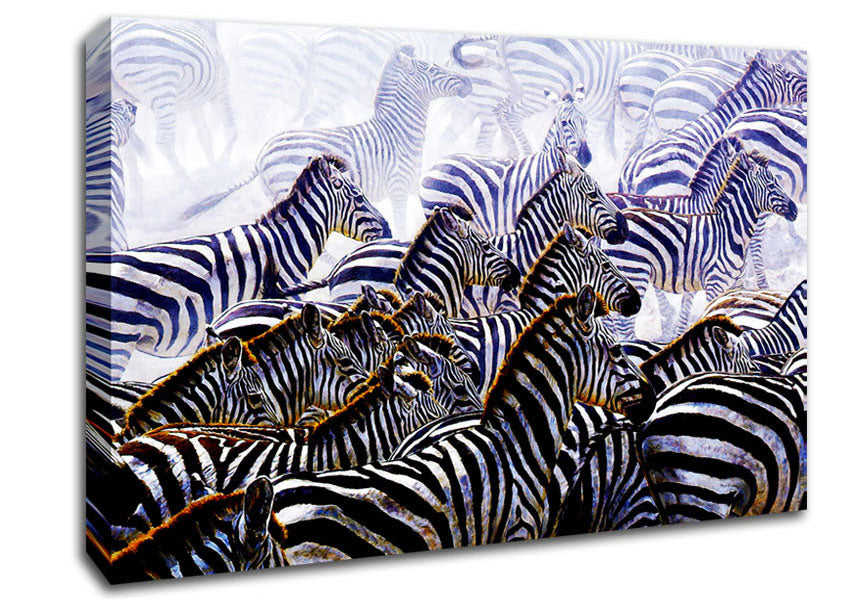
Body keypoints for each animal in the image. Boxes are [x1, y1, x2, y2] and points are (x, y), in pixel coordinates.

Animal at [86, 18, 237, 175]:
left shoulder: (193, 101)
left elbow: (205, 135)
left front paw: (213, 167)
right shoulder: (220, 87)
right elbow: (231, 130)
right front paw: (223, 165)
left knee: (126, 149)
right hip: (161, 87)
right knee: (164, 141)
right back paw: (187, 180)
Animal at [188, 45, 472, 235]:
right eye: (431, 68)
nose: (468, 82)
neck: (397, 131)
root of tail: (261, 154)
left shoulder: (414, 183)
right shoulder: (398, 186)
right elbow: (403, 226)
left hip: (274, 191)